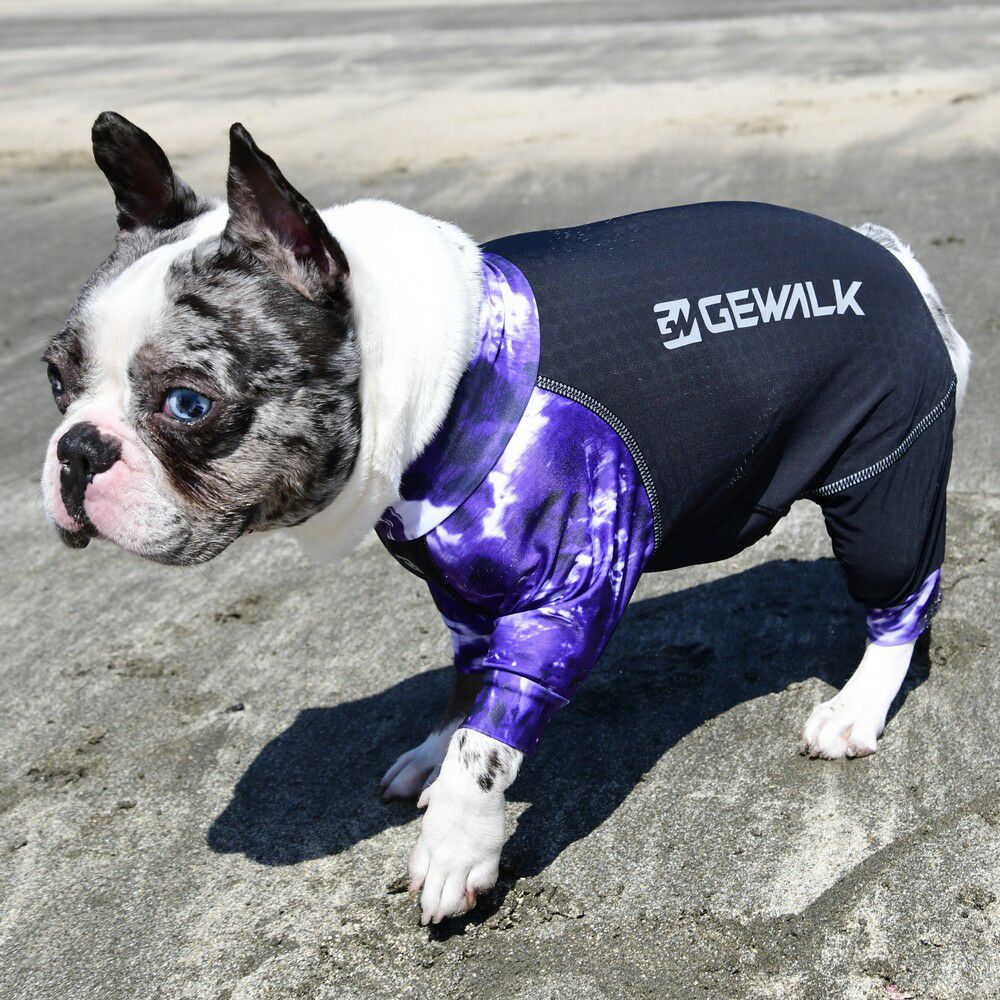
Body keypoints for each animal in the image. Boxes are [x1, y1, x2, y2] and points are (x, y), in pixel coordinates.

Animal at [41, 113, 970, 924]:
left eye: (188, 404)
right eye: (55, 378)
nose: (77, 452)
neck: (441, 376)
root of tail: (893, 257)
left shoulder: (566, 593)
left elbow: (488, 744)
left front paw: (455, 844)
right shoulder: (463, 590)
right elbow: (468, 684)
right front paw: (432, 749)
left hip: (879, 478)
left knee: (903, 594)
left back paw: (857, 706)